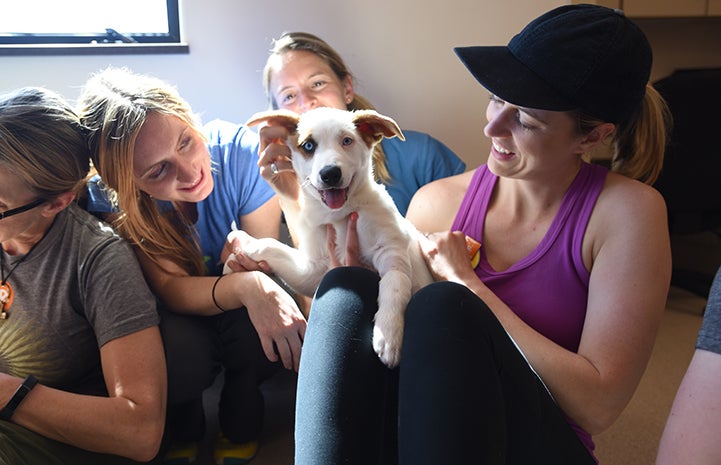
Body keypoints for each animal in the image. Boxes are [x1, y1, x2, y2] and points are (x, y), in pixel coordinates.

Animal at [222, 107, 430, 368]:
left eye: (347, 141)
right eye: (308, 145)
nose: (330, 173)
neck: (340, 216)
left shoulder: (391, 250)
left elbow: (395, 284)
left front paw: (389, 333)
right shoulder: (312, 271)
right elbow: (272, 246)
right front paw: (241, 254)